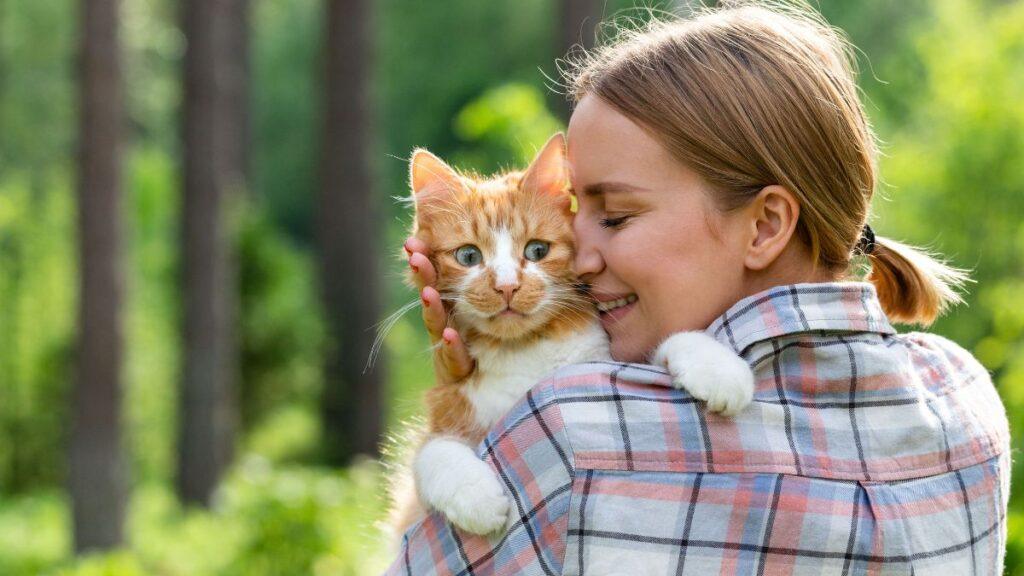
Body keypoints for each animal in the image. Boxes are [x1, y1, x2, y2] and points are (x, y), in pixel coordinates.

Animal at [387, 132, 757, 537]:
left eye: (537, 250)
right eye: (468, 256)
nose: (507, 286)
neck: (525, 351)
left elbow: (668, 343)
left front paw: (718, 369)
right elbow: (432, 453)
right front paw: (477, 498)